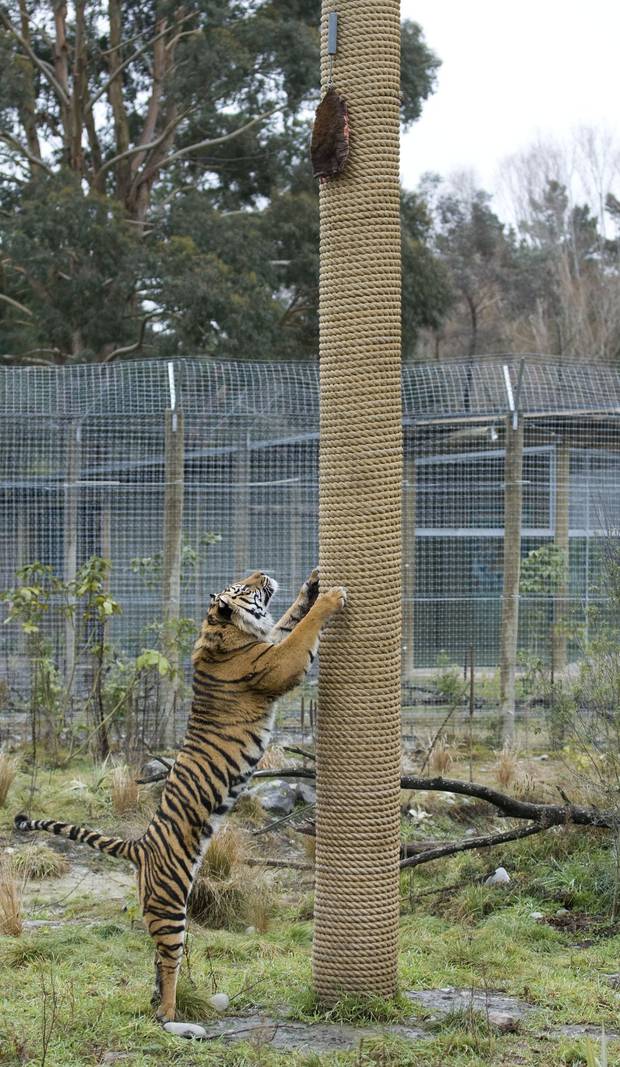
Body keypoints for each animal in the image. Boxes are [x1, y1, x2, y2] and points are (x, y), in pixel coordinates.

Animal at [14, 571, 345, 1020]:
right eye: (244, 587)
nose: (262, 574)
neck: (220, 629)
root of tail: (138, 846)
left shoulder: (271, 641)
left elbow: (290, 619)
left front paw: (311, 585)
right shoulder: (276, 664)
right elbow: (302, 632)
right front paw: (330, 596)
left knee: (156, 960)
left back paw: (161, 1003)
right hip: (170, 909)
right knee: (167, 960)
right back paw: (169, 1014)